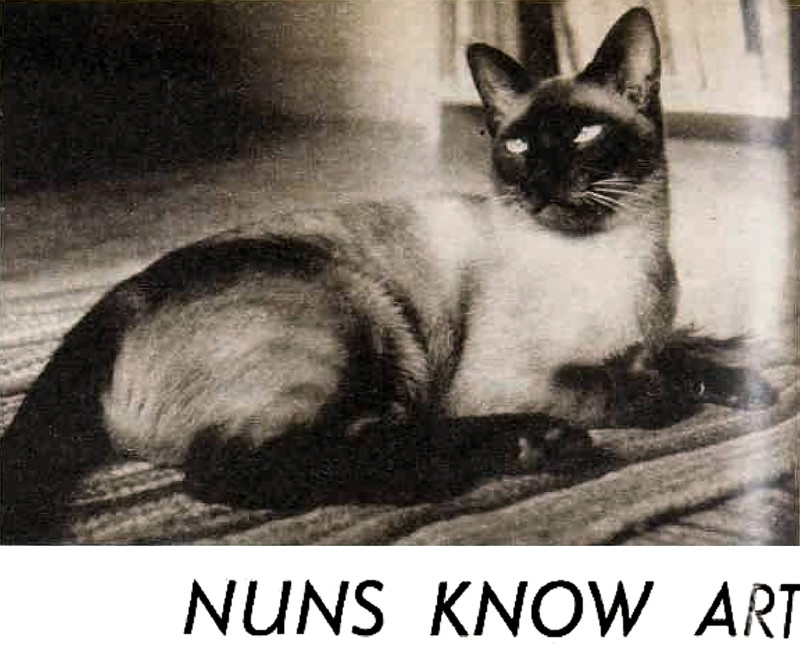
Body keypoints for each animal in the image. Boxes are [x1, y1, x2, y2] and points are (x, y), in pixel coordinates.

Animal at [0, 8, 775, 543]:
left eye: (584, 135)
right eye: (519, 147)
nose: (538, 185)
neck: (615, 256)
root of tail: (116, 296)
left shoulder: (652, 335)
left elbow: (684, 351)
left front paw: (743, 382)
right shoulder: (507, 378)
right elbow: (636, 388)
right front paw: (661, 391)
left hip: (380, 366)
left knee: (366, 432)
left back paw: (515, 446)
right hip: (355, 312)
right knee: (228, 468)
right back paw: (480, 465)